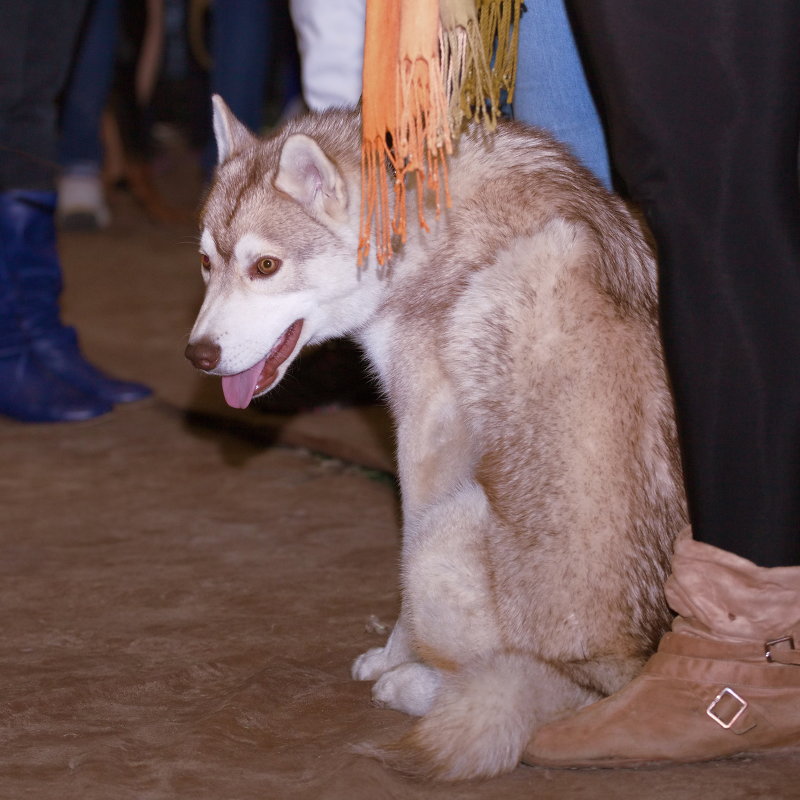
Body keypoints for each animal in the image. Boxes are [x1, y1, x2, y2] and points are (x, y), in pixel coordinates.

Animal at [186, 97, 688, 780]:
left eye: (265, 266)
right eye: (207, 263)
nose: (198, 356)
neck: (417, 231)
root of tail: (622, 673)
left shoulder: (424, 446)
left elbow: (401, 597)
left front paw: (392, 659)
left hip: (446, 531)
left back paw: (409, 684)